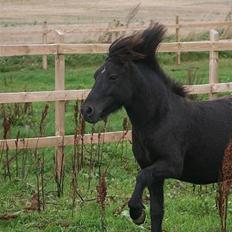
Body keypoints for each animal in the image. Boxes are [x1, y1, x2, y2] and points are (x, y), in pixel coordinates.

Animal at [80, 24, 232, 231]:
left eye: (113, 76)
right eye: (96, 75)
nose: (87, 110)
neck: (159, 119)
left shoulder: (170, 165)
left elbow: (141, 177)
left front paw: (136, 213)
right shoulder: (155, 174)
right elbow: (157, 212)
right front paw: (141, 213)